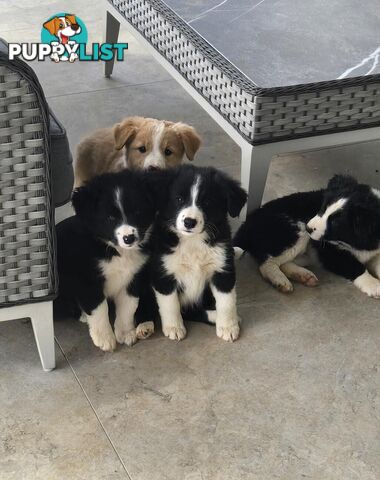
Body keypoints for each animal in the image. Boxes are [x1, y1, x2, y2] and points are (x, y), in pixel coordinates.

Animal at [55, 171, 157, 350]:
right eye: (110, 217)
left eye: (137, 212)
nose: (129, 238)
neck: (115, 250)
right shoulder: (88, 282)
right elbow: (99, 309)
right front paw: (105, 339)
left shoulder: (134, 277)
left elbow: (128, 306)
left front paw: (125, 333)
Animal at [150, 164, 248, 342]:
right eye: (179, 199)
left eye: (207, 202)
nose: (189, 222)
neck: (192, 242)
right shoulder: (162, 273)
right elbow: (170, 304)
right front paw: (174, 327)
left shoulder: (223, 270)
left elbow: (227, 302)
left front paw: (228, 327)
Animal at [233, 174, 380, 298]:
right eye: (322, 208)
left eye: (335, 222)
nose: (309, 228)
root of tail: (247, 223)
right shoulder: (329, 250)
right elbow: (353, 264)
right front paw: (373, 285)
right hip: (296, 233)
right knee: (267, 263)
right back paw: (280, 280)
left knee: (284, 262)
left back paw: (303, 276)